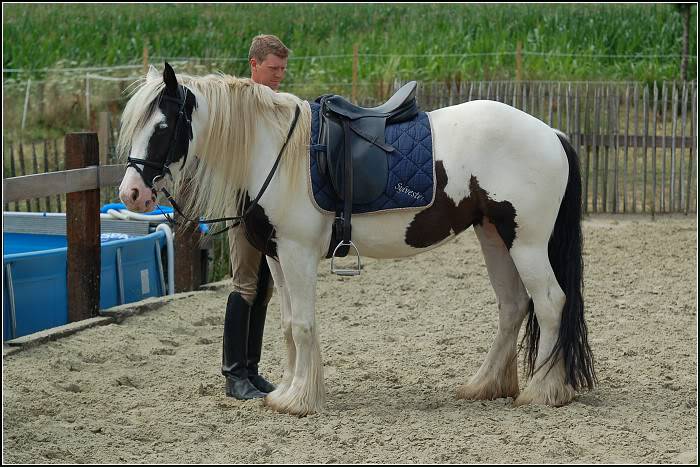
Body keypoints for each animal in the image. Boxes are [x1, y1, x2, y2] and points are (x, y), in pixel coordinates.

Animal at [119, 63, 596, 416]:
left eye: (162, 125)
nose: (132, 193)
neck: (277, 152)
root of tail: (552, 134)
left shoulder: (297, 254)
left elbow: (302, 324)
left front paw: (300, 401)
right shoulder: (275, 256)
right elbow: (287, 326)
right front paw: (287, 392)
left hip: (526, 242)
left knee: (550, 303)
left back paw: (542, 391)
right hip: (494, 236)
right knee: (513, 306)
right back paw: (484, 385)